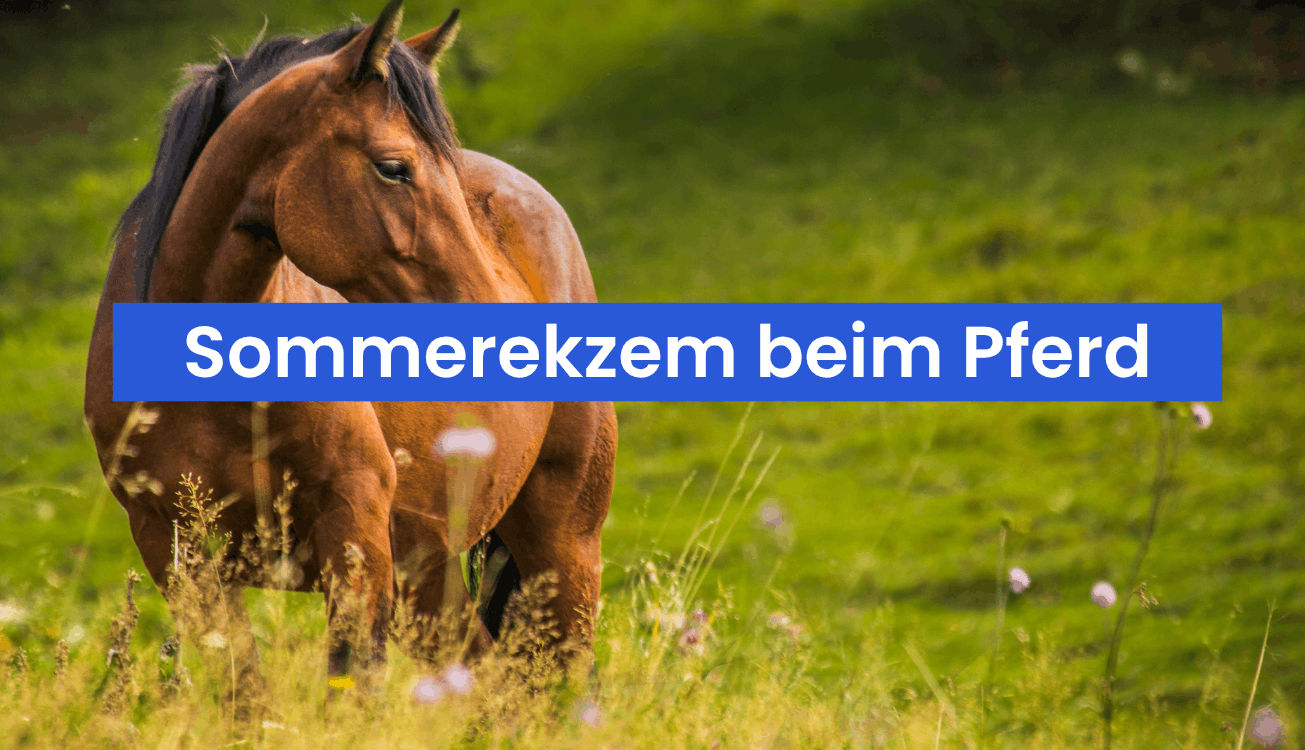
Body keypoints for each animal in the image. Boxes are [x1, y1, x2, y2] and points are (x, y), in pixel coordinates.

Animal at [82, 0, 617, 692]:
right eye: (393, 167)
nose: (497, 326)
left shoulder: (355, 531)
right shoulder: (177, 553)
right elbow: (245, 694)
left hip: (563, 547)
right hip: (430, 570)